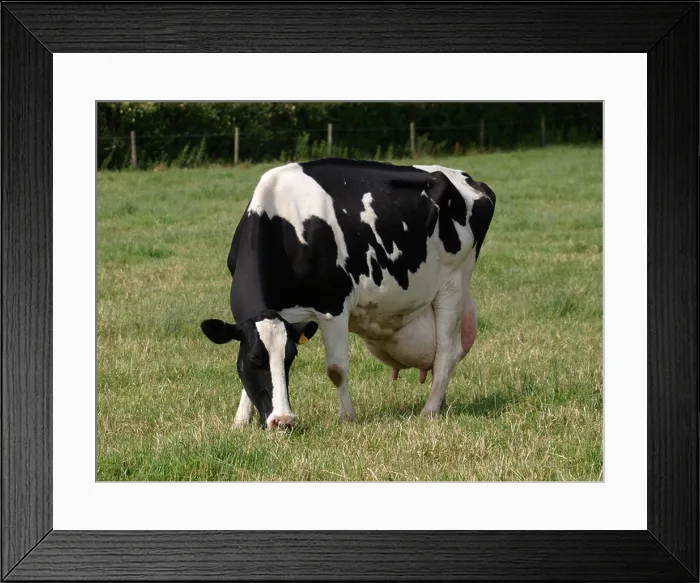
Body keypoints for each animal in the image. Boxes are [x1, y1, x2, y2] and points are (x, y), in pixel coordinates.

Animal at [201, 158, 495, 429]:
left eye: (291, 357)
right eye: (255, 359)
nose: (282, 421)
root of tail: (466, 178)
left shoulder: (333, 306)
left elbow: (336, 369)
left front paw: (347, 417)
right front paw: (240, 421)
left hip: (453, 283)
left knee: (445, 353)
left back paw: (430, 410)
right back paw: (440, 402)